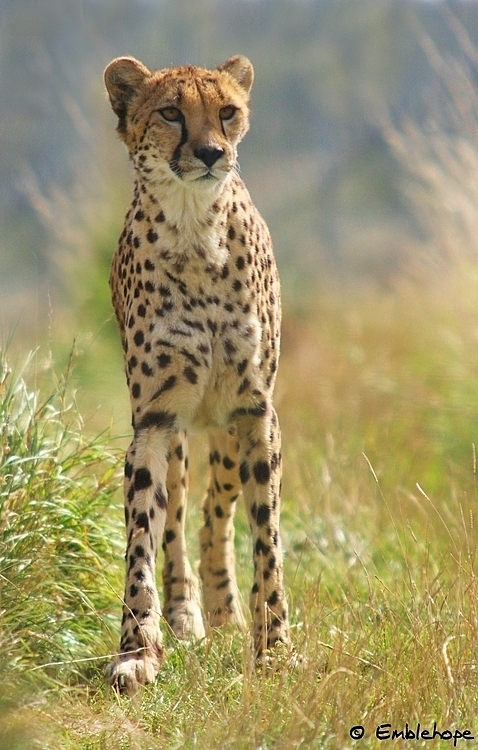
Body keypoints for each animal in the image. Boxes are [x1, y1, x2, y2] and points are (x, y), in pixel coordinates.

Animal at [103, 53, 290, 695]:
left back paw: (228, 610)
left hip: (231, 431)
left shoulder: (256, 410)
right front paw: (138, 649)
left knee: (217, 510)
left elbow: (266, 536)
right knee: (182, 514)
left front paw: (274, 648)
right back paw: (188, 615)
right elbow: (143, 538)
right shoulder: (156, 420)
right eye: (169, 113)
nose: (211, 152)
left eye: (227, 111)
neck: (194, 231)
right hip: (183, 435)